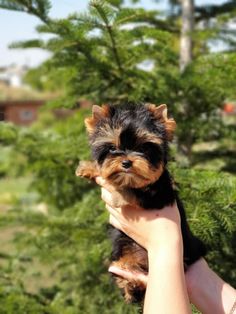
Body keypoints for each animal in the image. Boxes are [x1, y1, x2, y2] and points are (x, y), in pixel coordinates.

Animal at [76, 103, 206, 304]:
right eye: (112, 148)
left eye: (144, 148)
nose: (126, 162)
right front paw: (90, 168)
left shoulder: (159, 194)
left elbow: (135, 191)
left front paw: (117, 192)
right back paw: (130, 284)